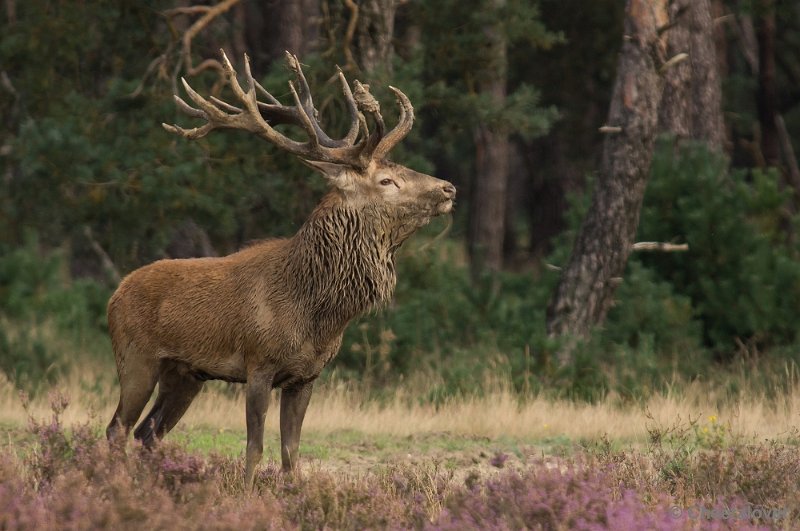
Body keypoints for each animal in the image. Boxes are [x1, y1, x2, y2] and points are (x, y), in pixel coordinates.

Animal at [104, 52, 456, 492]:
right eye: (387, 180)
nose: (448, 188)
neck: (317, 315)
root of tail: (114, 295)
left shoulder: (306, 376)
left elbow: (292, 453)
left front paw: (293, 493)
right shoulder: (259, 364)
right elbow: (254, 448)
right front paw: (247, 494)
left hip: (185, 375)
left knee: (147, 432)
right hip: (136, 358)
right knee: (117, 429)